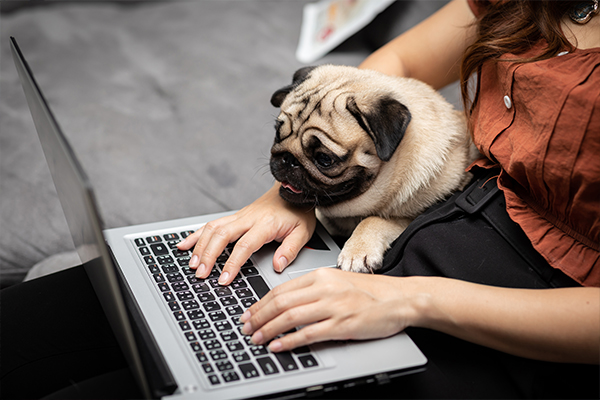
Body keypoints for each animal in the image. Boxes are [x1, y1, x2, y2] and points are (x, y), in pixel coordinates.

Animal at [268, 65, 478, 274]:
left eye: (324, 159)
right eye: (277, 134)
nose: (288, 159)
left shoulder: (410, 218)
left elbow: (373, 220)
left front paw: (356, 252)